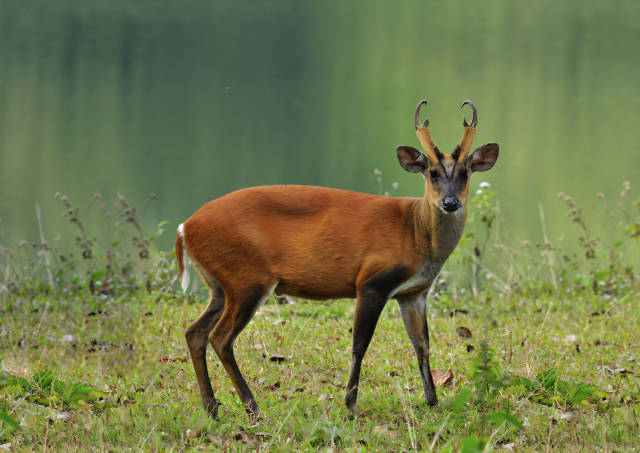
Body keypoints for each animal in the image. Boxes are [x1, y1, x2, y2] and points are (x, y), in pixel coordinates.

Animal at [176, 99, 500, 416]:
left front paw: (433, 401)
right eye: (432, 173)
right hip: (247, 277)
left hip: (221, 284)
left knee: (195, 332)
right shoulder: (372, 281)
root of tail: (185, 228)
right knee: (220, 337)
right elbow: (360, 344)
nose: (450, 202)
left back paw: (212, 408)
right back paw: (252, 408)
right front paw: (351, 404)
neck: (415, 231)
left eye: (465, 173)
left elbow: (422, 345)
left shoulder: (414, 292)